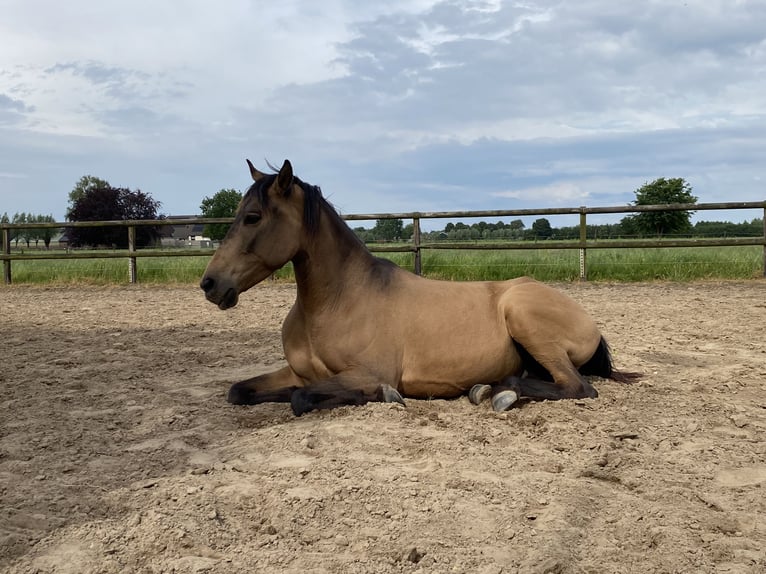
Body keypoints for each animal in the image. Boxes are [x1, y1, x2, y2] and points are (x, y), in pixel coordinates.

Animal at [200, 160, 640, 416]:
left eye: (253, 217)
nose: (210, 284)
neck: (333, 303)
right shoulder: (296, 371)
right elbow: (240, 391)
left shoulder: (366, 372)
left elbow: (301, 397)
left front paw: (385, 395)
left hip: (525, 317)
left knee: (577, 387)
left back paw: (497, 393)